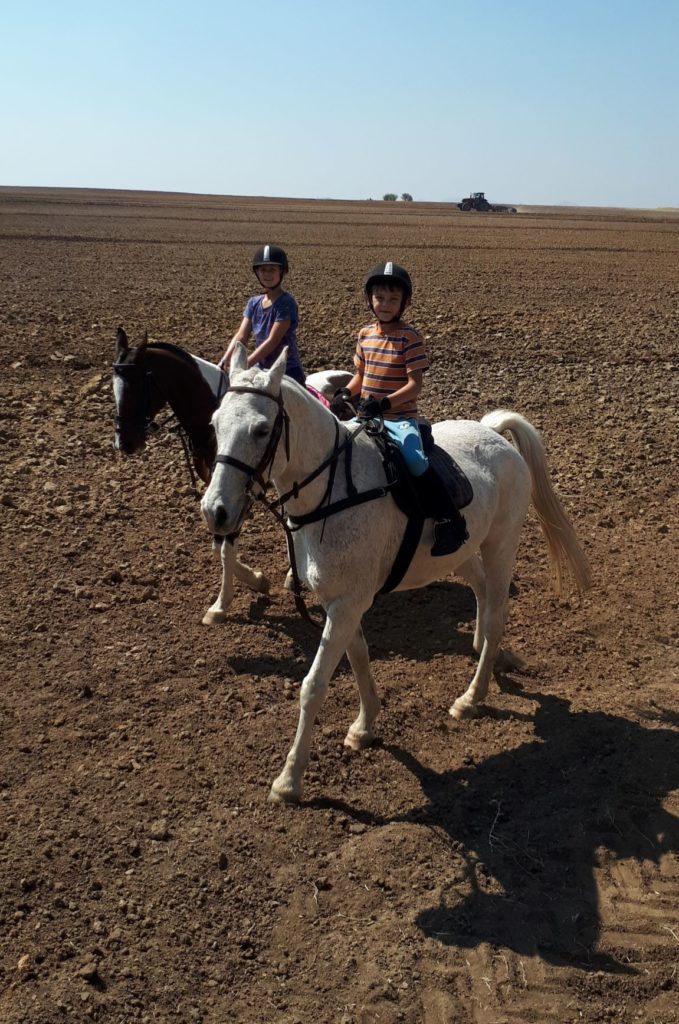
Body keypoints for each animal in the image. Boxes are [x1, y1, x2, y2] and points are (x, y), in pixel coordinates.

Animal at [200, 348, 589, 802]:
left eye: (262, 429)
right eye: (214, 423)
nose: (215, 511)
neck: (334, 492)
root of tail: (493, 433)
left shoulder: (346, 605)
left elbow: (313, 685)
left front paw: (289, 779)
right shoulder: (341, 602)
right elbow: (360, 658)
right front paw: (365, 726)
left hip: (501, 546)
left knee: (496, 615)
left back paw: (472, 696)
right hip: (458, 552)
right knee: (479, 592)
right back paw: (485, 652)